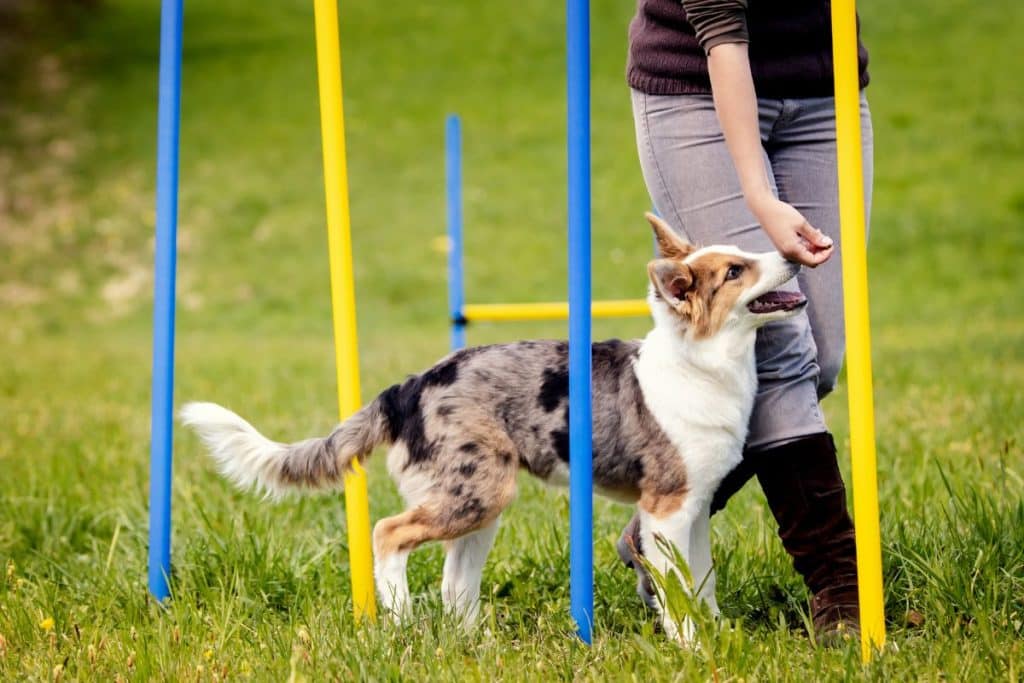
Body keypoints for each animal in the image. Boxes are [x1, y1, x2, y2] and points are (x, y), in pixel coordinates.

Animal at [184, 211, 806, 643]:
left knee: (454, 582)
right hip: (476, 492)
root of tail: (410, 386)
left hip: (482, 501)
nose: (793, 251)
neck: (703, 365)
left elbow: (702, 582)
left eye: (742, 255)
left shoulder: (694, 510)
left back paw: (468, 642)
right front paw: (692, 648)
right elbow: (677, 592)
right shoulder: (666, 509)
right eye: (735, 271)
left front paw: (715, 636)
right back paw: (400, 621)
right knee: (388, 533)